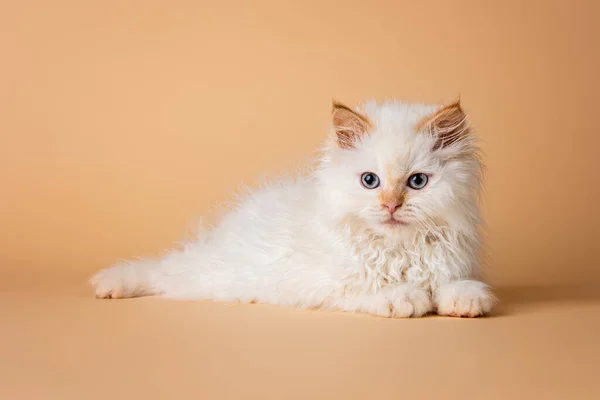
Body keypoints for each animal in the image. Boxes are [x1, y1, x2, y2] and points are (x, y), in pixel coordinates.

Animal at [90, 98, 496, 318]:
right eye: (370, 181)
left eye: (417, 182)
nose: (391, 205)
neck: (397, 249)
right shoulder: (325, 282)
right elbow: (369, 288)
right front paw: (405, 297)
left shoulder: (448, 263)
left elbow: (450, 284)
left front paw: (465, 299)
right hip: (207, 274)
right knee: (159, 273)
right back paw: (111, 285)